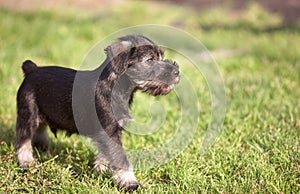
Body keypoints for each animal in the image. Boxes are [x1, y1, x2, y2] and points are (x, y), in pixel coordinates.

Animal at [15, 34, 179, 191]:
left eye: (161, 56)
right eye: (150, 60)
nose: (177, 72)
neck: (116, 87)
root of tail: (32, 70)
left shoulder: (112, 131)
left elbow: (107, 154)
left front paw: (102, 169)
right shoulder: (108, 130)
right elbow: (121, 158)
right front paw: (130, 183)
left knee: (39, 129)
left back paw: (42, 146)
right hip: (28, 114)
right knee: (23, 140)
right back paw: (27, 162)